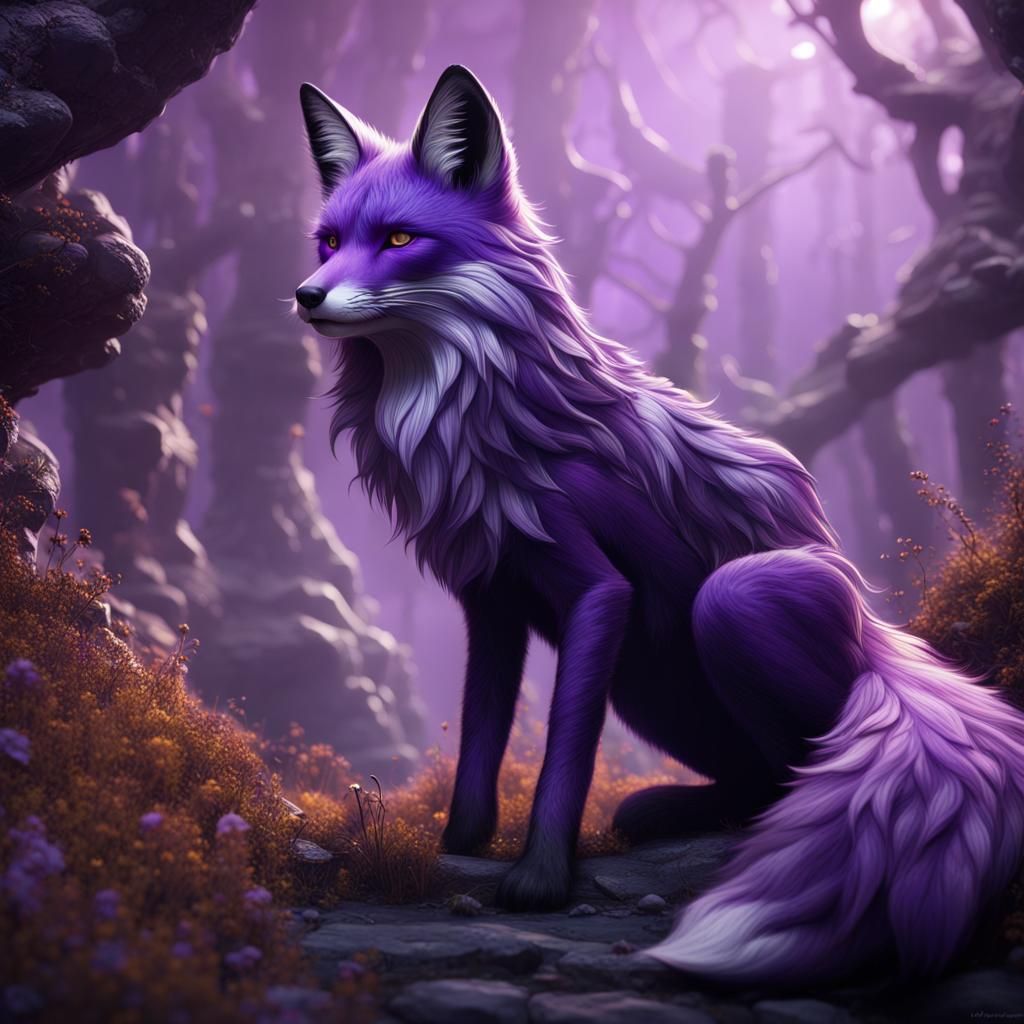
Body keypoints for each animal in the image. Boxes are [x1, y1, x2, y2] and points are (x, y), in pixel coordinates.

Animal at [293, 64, 1024, 985]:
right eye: (328, 241)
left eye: (397, 239)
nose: (306, 295)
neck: (468, 416)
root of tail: (882, 634)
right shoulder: (492, 599)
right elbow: (482, 738)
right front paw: (457, 846)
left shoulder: (595, 589)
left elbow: (564, 749)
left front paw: (540, 878)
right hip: (646, 682)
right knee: (751, 776)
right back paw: (675, 809)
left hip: (733, 602)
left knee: (789, 769)